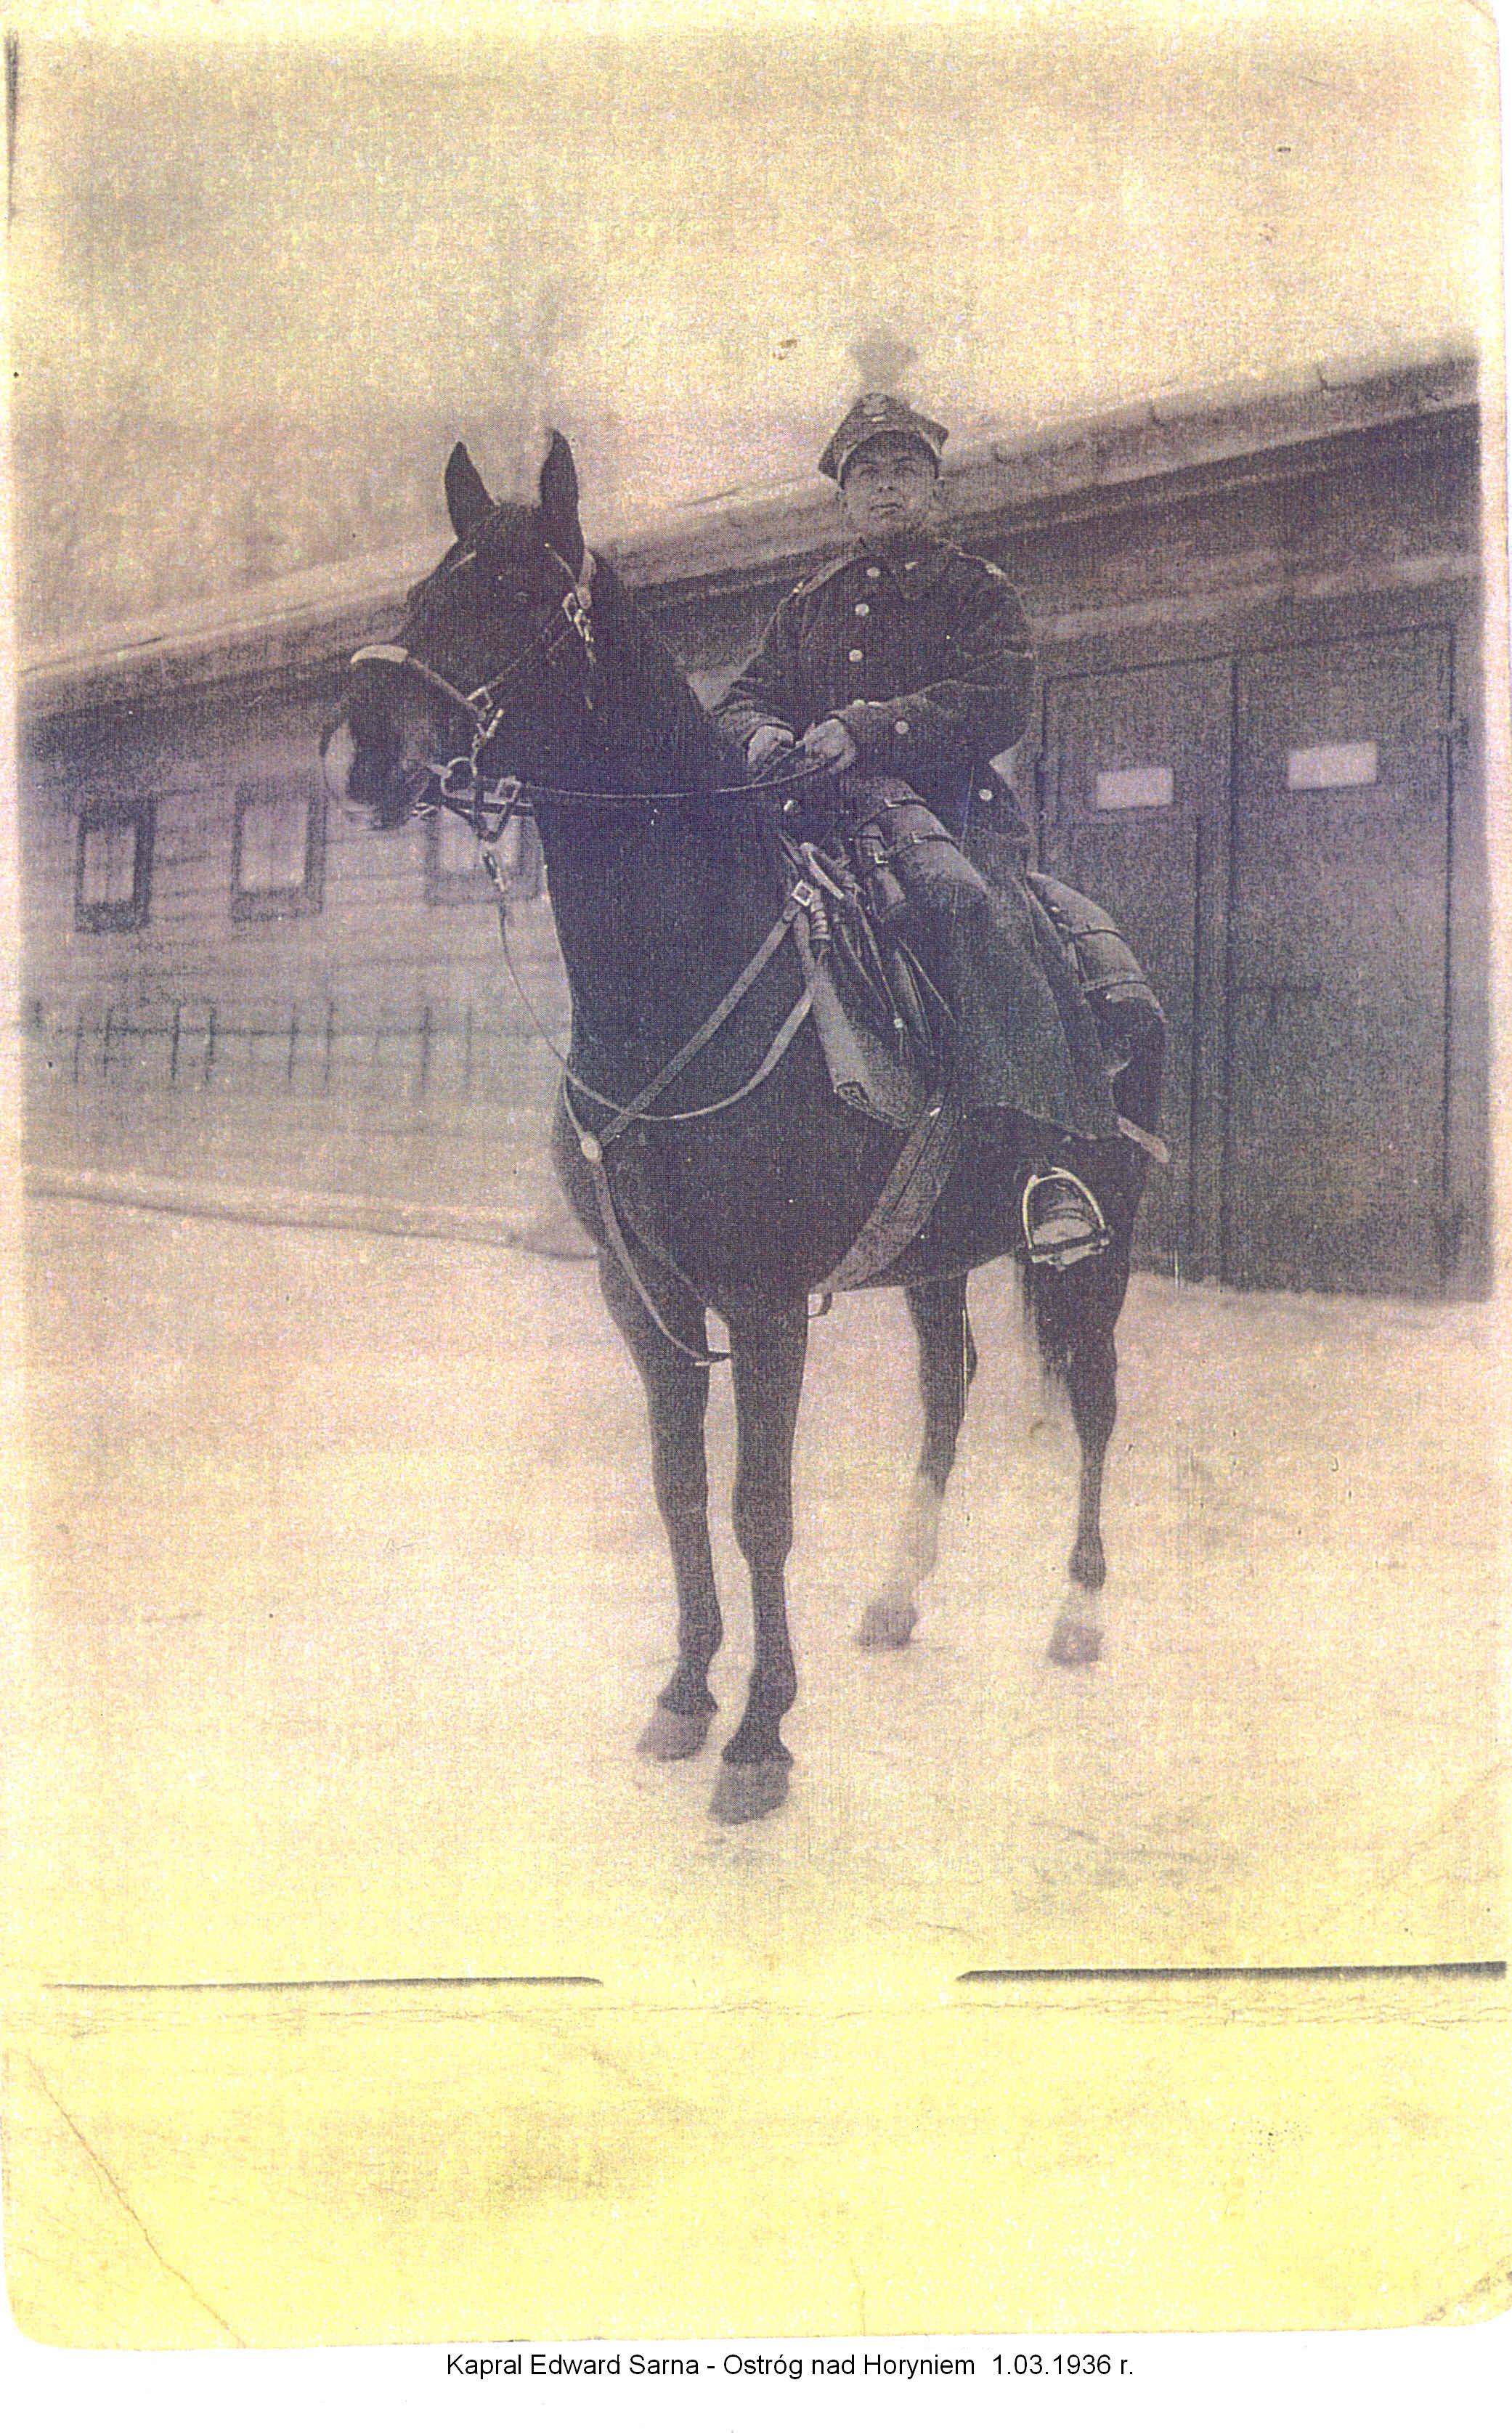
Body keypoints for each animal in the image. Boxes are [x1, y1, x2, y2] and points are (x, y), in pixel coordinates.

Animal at [322, 432, 1154, 1824]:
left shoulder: (762, 1303)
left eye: (518, 593)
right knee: (947, 1393)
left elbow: (760, 1505)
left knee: (1090, 1401)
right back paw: (897, 1594)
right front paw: (684, 1694)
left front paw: (761, 1737)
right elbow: (678, 1493)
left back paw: (1083, 1614)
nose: (367, 748)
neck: (683, 974)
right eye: (433, 580)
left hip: (1099, 1251)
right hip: (930, 1259)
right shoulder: (645, 1296)